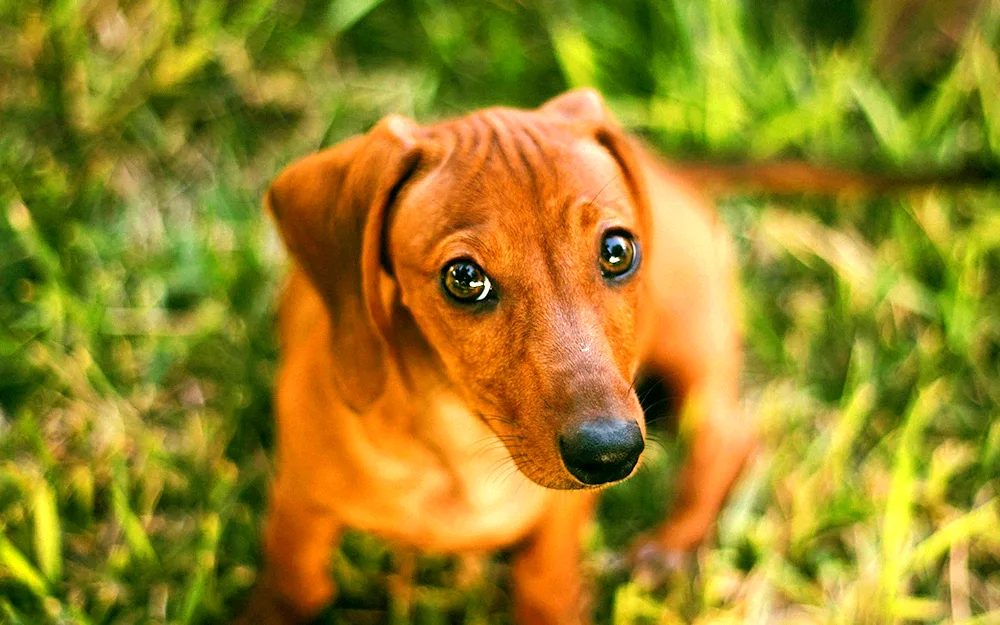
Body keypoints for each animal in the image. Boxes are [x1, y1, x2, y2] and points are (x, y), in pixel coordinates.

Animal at [234, 89, 804, 624]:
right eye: (464, 278)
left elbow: (546, 588)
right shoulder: (298, 504)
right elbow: (292, 589)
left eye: (617, 251)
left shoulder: (560, 528)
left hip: (689, 337)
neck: (463, 451)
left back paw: (668, 547)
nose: (610, 455)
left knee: (729, 437)